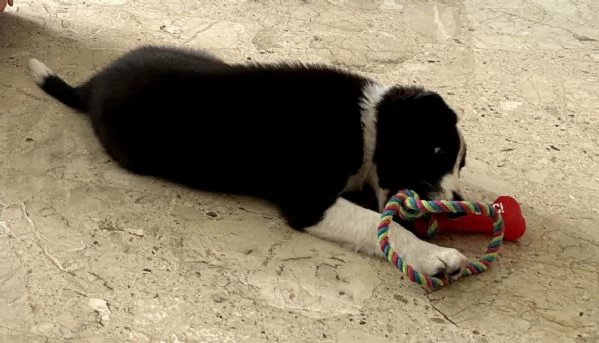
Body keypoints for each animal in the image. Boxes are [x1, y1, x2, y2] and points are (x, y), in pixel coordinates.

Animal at [27, 46, 468, 280]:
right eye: (437, 152)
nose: (458, 203)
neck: (368, 124)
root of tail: (91, 86)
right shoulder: (309, 202)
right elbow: (380, 225)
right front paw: (435, 256)